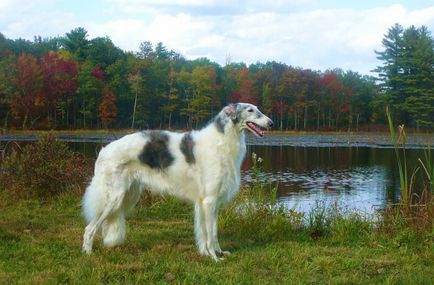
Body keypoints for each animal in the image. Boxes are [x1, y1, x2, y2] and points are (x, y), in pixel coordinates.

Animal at [81, 102, 272, 260]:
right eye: (250, 110)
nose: (271, 123)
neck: (222, 140)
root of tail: (104, 150)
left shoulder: (211, 202)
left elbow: (212, 232)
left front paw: (216, 252)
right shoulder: (209, 200)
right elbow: (210, 234)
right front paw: (214, 257)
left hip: (128, 195)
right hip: (114, 198)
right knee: (89, 228)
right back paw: (88, 253)